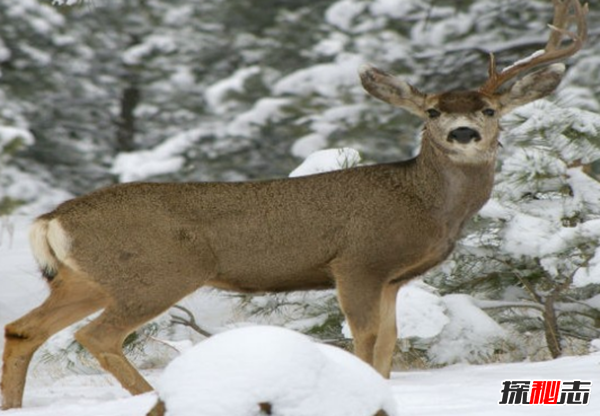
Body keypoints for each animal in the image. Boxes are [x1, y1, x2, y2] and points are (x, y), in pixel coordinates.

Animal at [0, 0, 588, 410]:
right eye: (432, 111)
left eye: (488, 109)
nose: (463, 132)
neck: (425, 204)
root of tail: (52, 218)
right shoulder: (358, 261)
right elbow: (366, 340)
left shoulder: (393, 278)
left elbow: (389, 345)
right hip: (157, 272)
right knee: (95, 335)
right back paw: (153, 398)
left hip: (83, 279)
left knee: (23, 330)